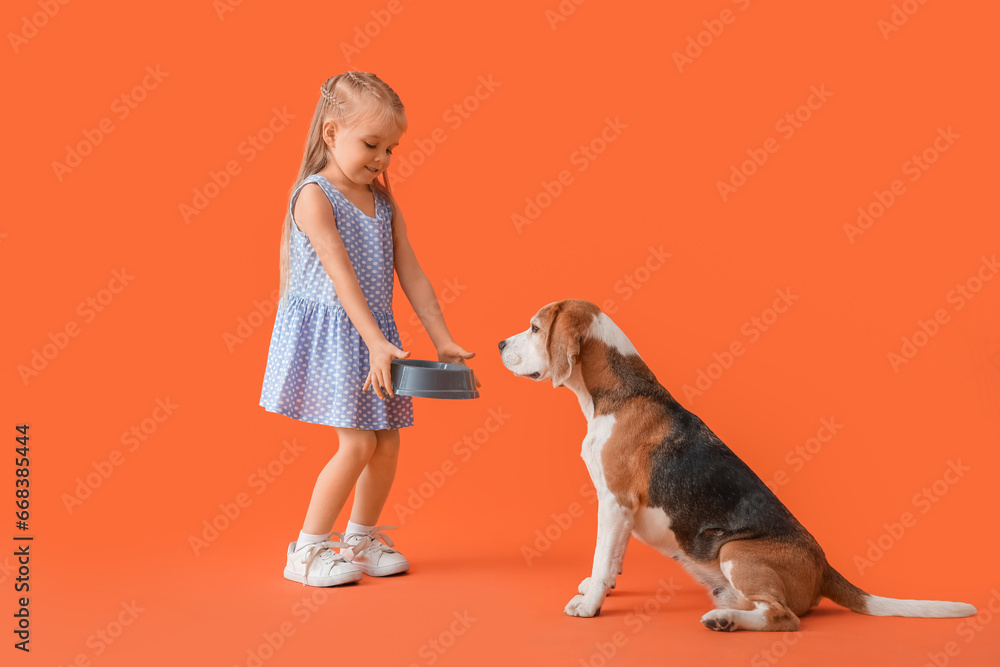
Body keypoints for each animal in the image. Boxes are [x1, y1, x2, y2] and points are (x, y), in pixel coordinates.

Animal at [500, 300, 976, 636]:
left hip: (735, 552)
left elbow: (603, 557)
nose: (501, 345)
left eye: (535, 328)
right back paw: (727, 612)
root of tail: (824, 566)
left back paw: (725, 621)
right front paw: (599, 586)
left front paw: (590, 604)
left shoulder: (615, 502)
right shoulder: (616, 508)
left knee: (785, 618)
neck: (619, 393)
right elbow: (611, 558)